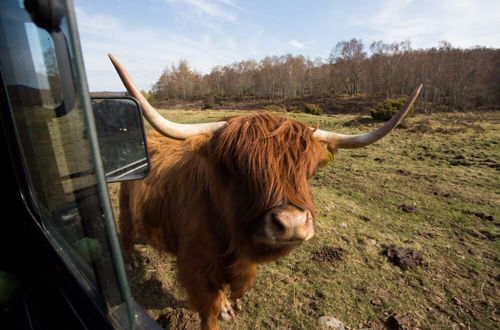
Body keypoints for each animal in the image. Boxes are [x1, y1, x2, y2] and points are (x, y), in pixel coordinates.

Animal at [110, 54, 422, 330]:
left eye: (308, 171)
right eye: (236, 167)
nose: (292, 224)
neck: (230, 237)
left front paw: (227, 307)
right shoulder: (198, 271)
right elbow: (208, 312)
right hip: (125, 199)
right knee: (125, 228)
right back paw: (129, 260)